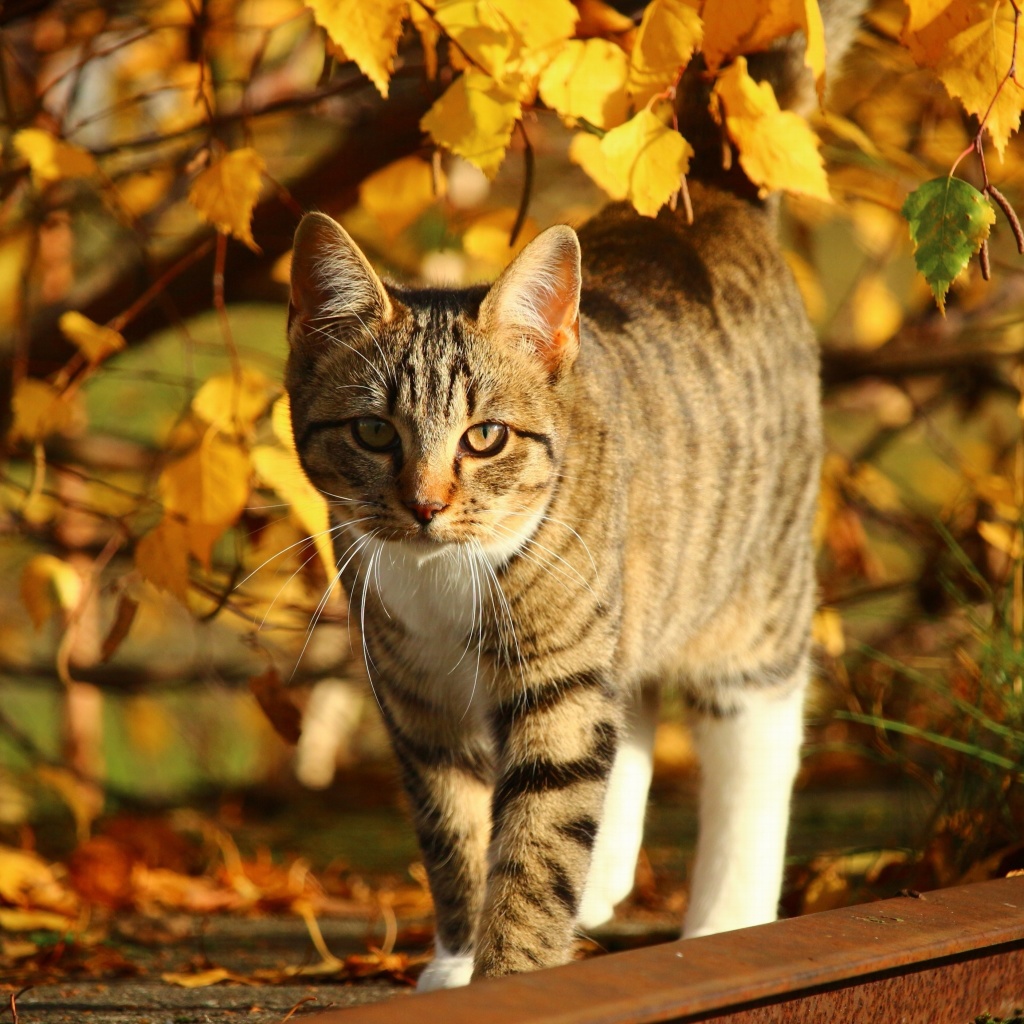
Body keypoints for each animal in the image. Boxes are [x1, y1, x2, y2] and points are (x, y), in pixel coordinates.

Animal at [284, 2, 860, 991]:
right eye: (373, 434)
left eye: (485, 438)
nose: (427, 504)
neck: (444, 579)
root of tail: (711, 204)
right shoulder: (414, 698)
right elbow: (455, 831)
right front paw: (457, 957)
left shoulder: (556, 673)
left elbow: (539, 838)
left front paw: (511, 972)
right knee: (626, 711)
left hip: (752, 593)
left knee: (754, 736)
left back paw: (727, 916)